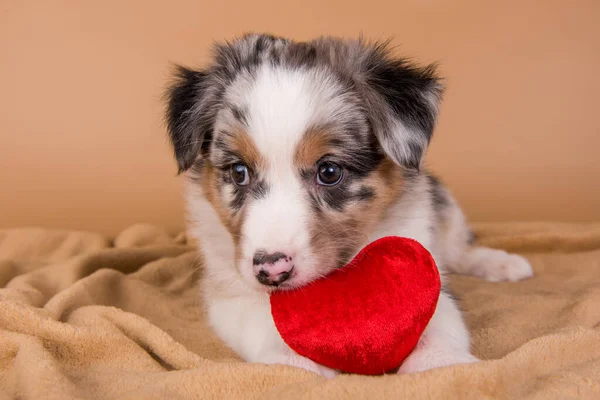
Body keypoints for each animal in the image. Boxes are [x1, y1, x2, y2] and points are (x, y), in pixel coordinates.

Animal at [165, 32, 536, 376]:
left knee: (457, 249)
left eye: (329, 172)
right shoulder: (228, 287)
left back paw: (500, 263)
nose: (271, 270)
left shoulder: (421, 257)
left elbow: (439, 316)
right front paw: (294, 361)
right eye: (239, 172)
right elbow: (258, 316)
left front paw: (441, 362)